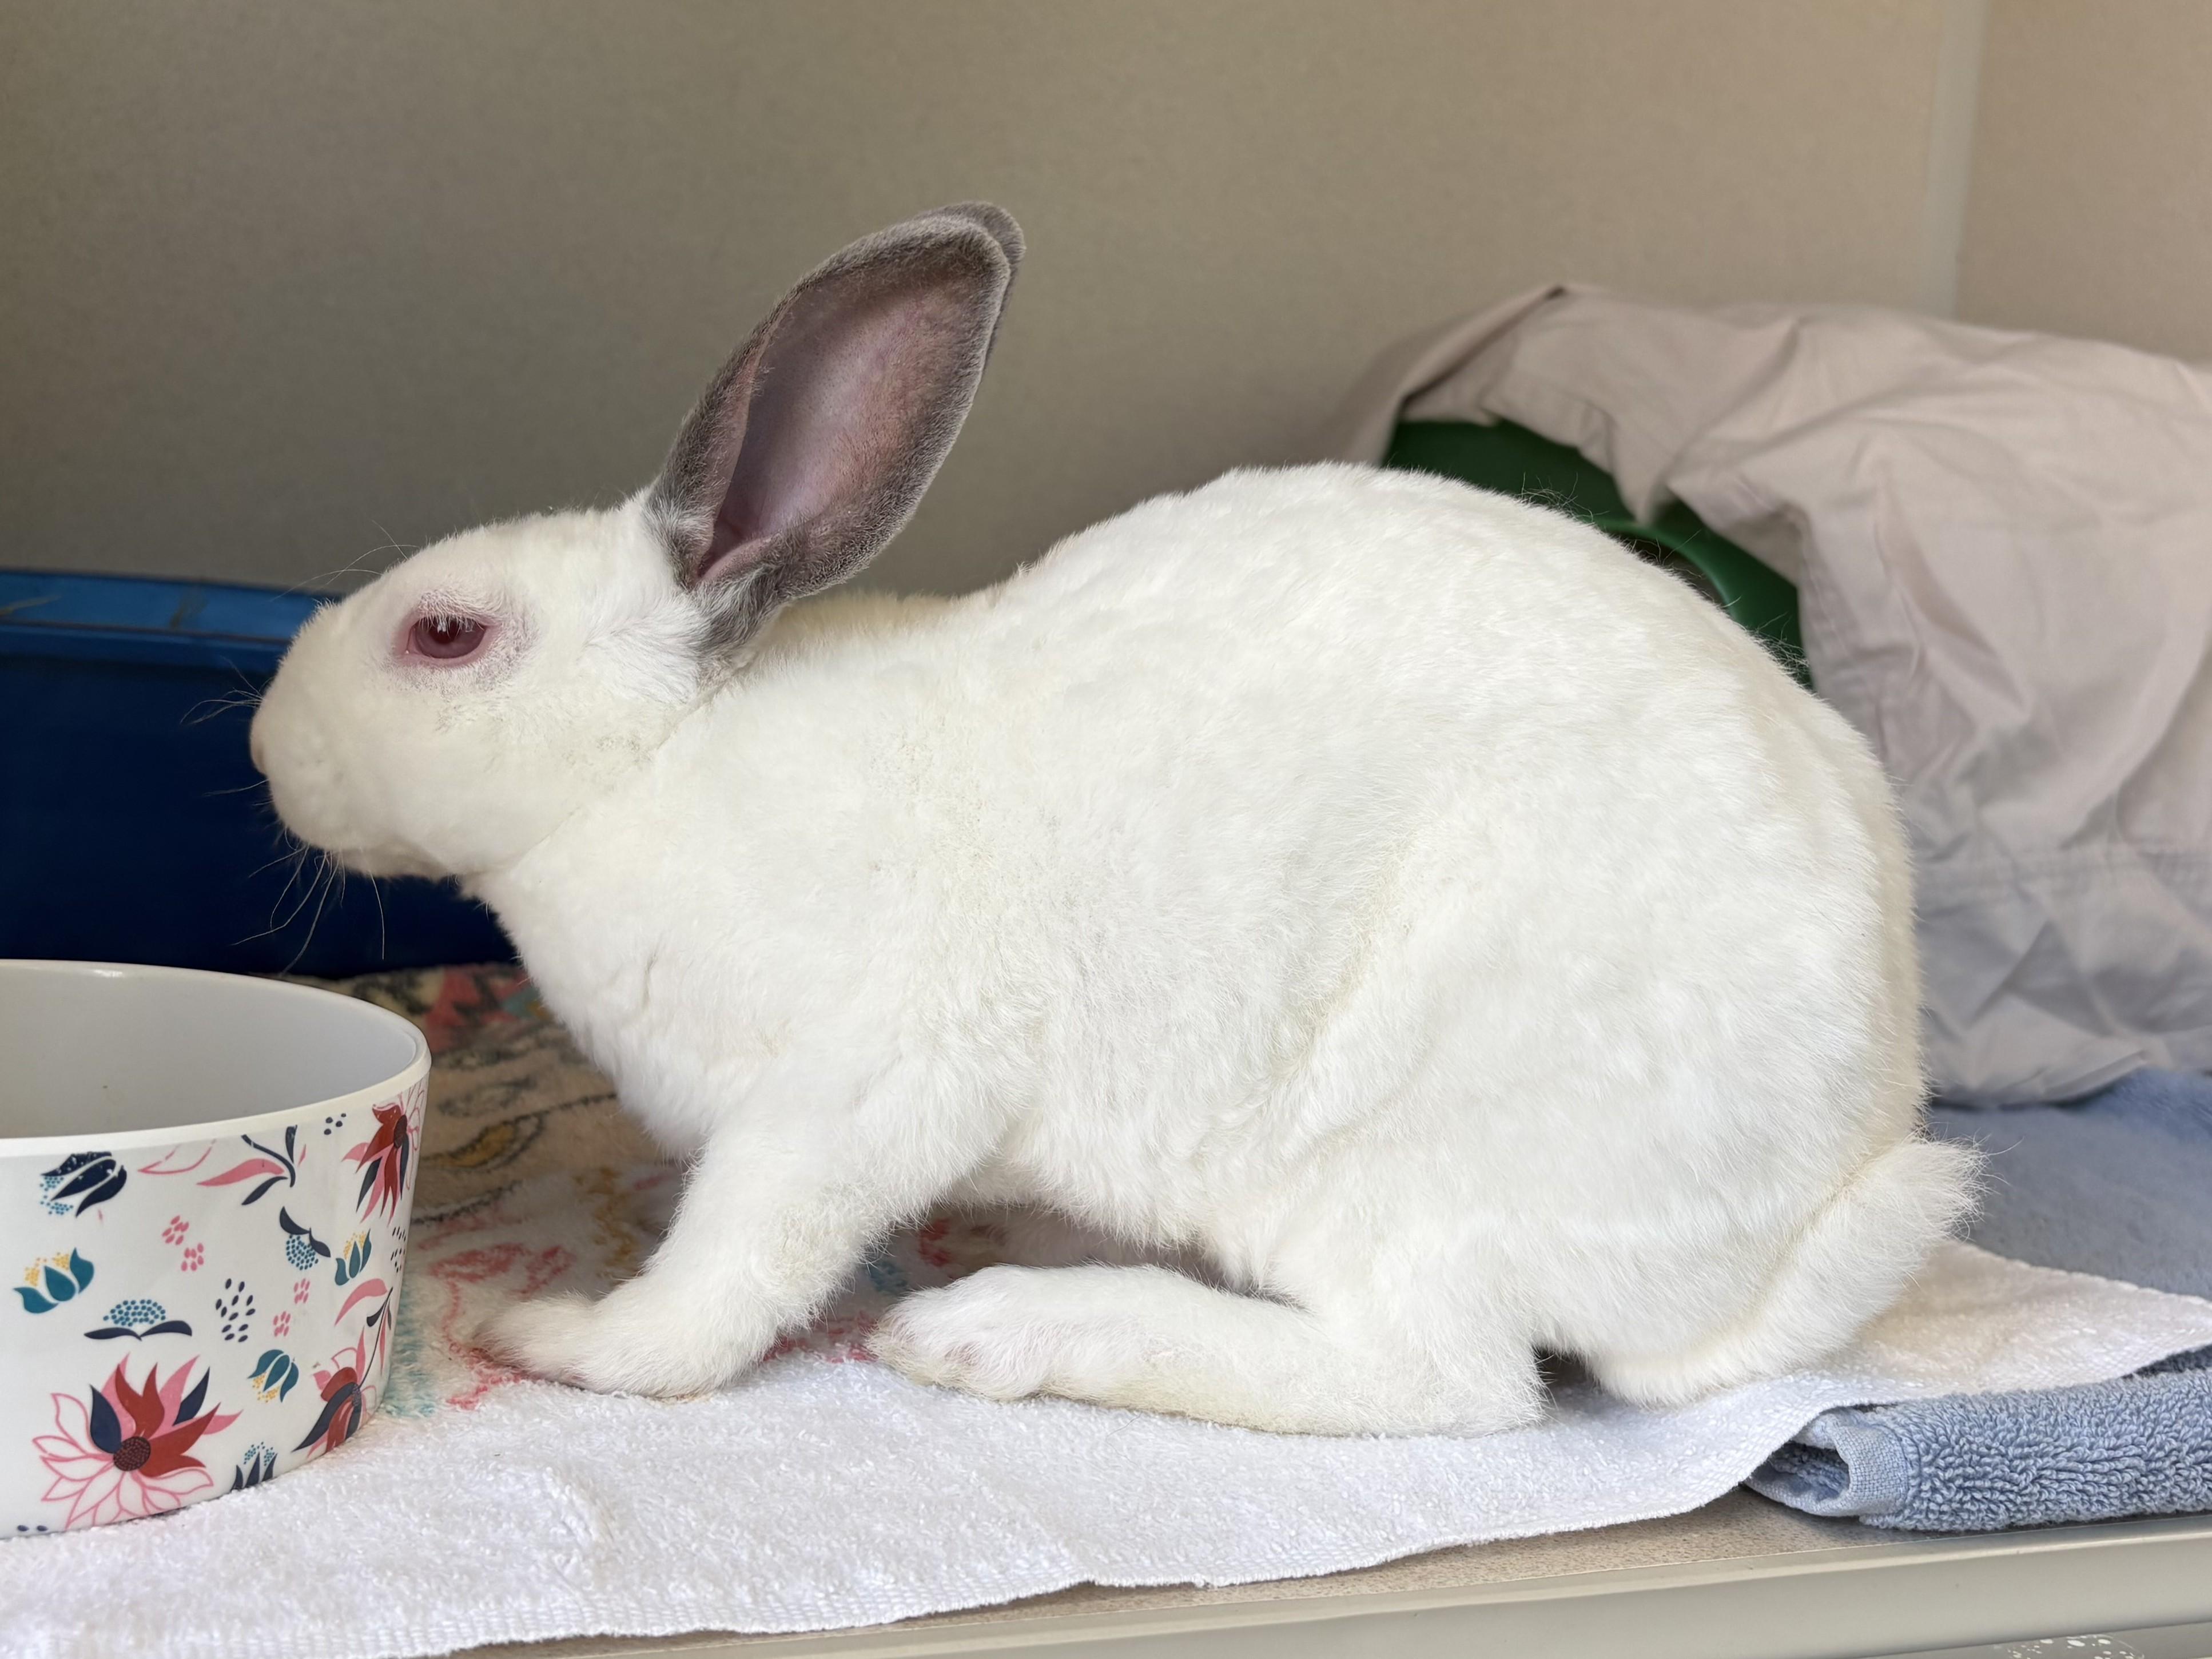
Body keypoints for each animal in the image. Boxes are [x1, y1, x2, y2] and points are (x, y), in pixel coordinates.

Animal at [251, 203, 1977, 1435]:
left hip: (1396, 1166)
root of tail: (1811, 1205)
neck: (657, 762)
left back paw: (989, 1330)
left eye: (446, 636)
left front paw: (573, 1338)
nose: (267, 745)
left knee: (1439, 1379)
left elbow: (726, 1277)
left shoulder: (846, 1100)